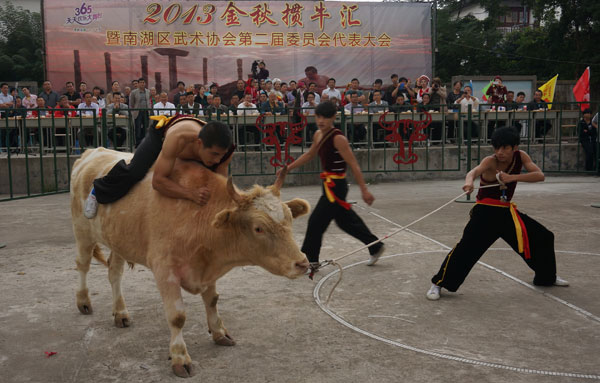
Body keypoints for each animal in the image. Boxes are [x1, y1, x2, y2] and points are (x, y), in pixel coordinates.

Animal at [71, 147, 310, 378]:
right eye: (258, 228)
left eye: (290, 218)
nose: (302, 263)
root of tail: (93, 152)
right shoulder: (165, 271)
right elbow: (177, 317)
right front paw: (180, 357)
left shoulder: (209, 269)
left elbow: (212, 300)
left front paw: (219, 333)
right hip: (83, 232)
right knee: (82, 265)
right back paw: (83, 301)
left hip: (118, 240)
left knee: (114, 273)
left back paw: (120, 313)